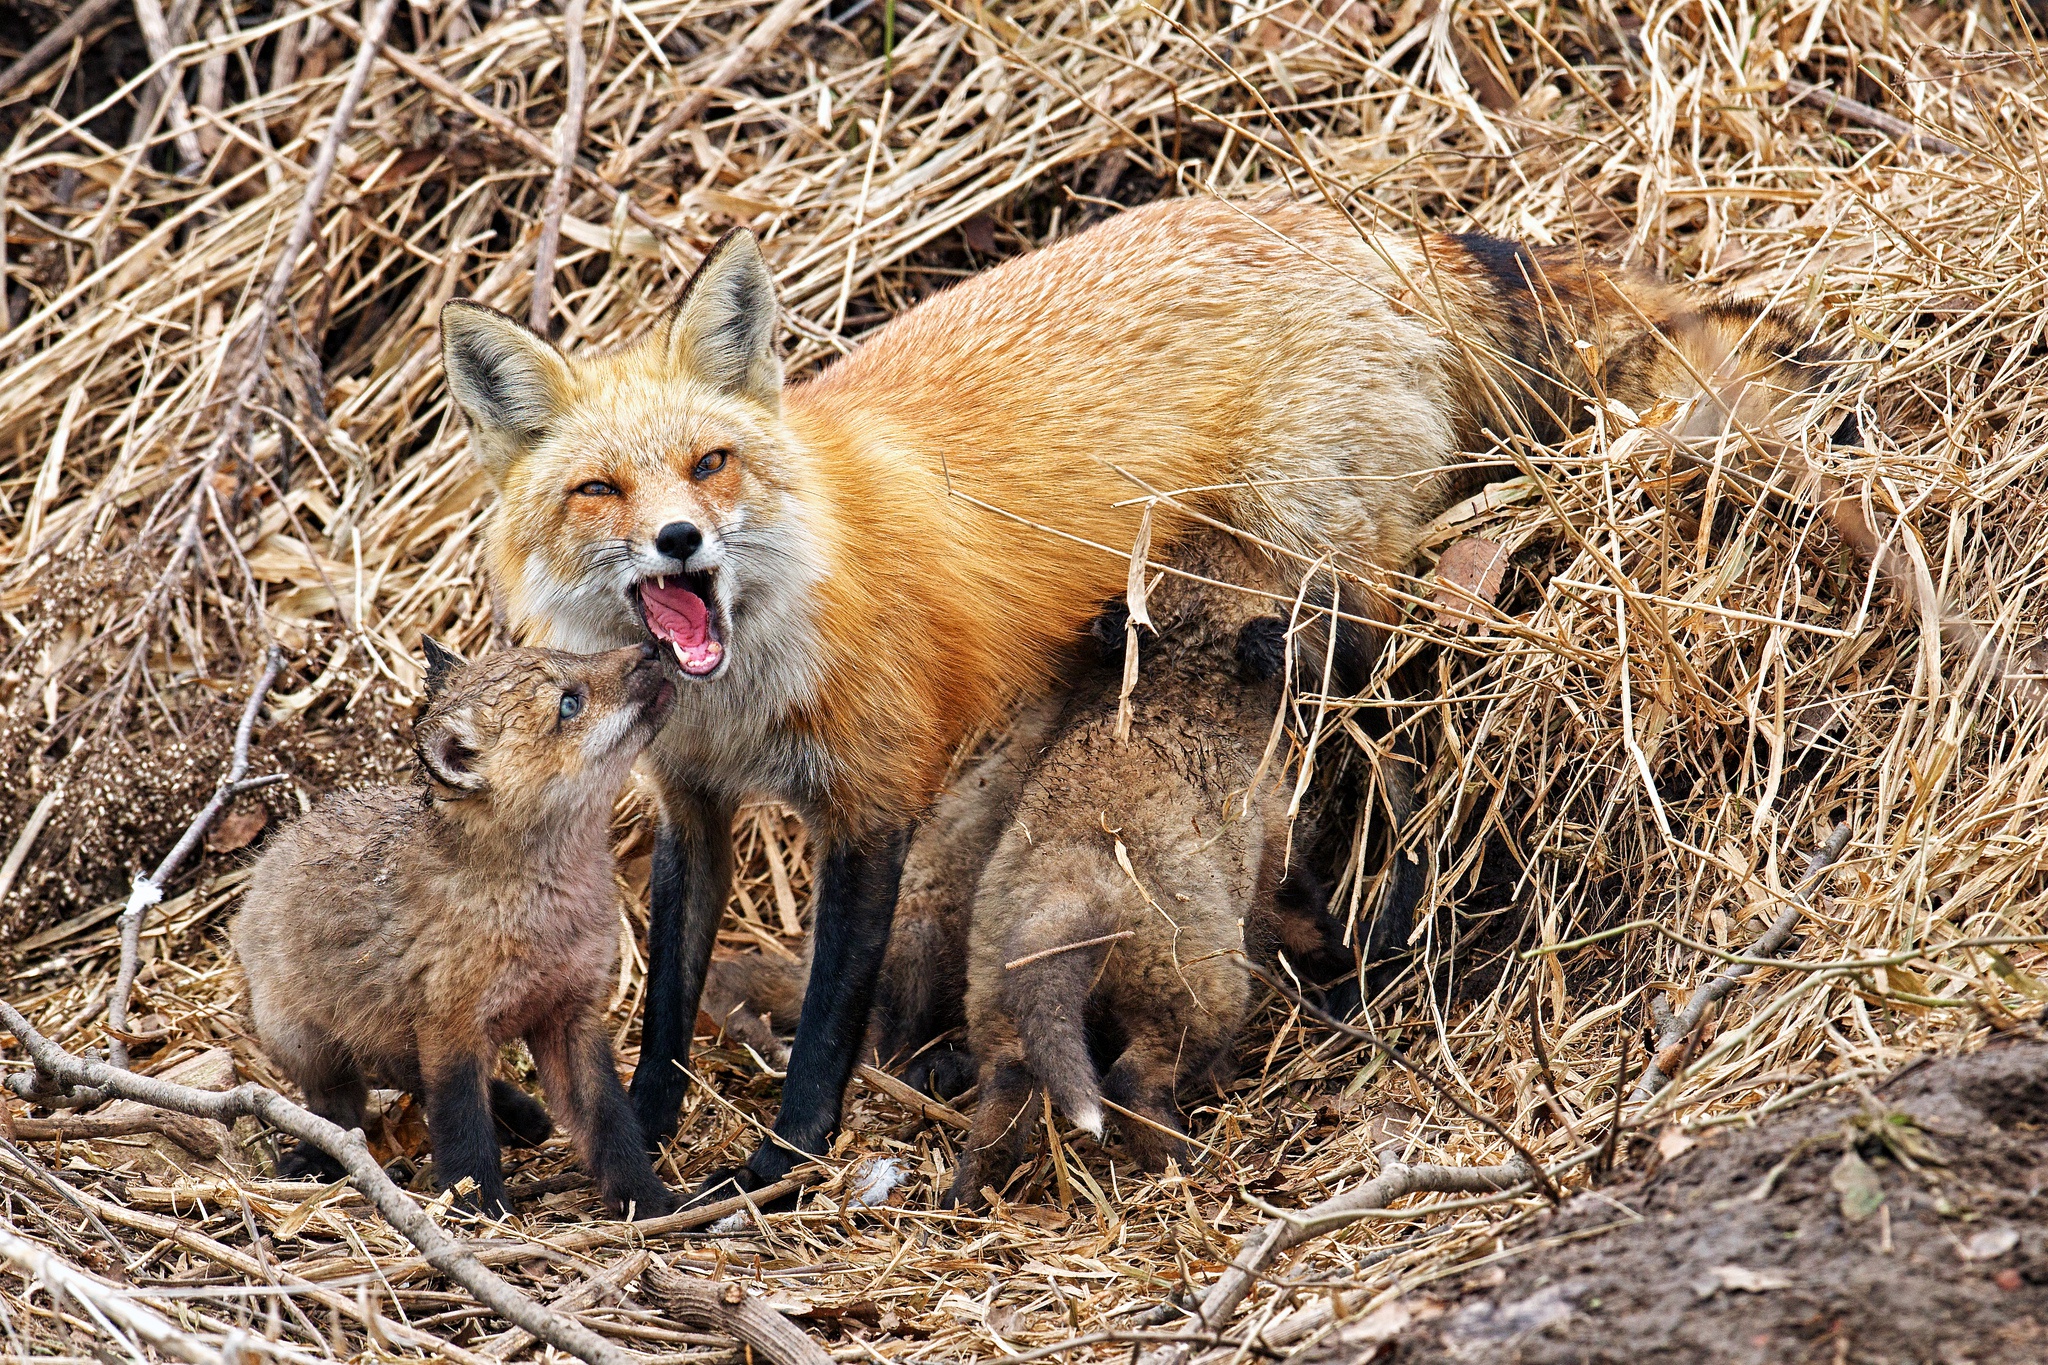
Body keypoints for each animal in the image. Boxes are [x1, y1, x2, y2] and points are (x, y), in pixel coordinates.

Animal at [444, 197, 1843, 1203]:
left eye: (710, 463)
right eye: (598, 492)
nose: (679, 541)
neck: (756, 663)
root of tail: (1374, 232)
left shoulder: (874, 808)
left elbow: (829, 1026)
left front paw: (778, 1169)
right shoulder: (693, 805)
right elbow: (665, 1009)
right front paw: (643, 1146)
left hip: (1329, 604)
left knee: (1389, 756)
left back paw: (1377, 957)